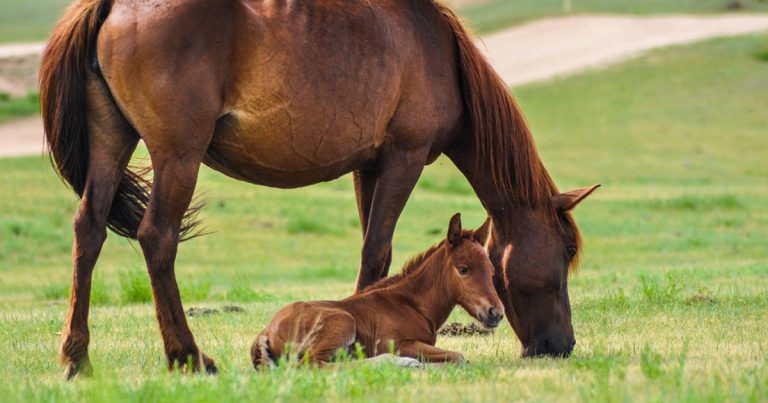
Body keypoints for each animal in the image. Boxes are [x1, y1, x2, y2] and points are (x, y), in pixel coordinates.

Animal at [251, 213, 503, 368]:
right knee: (314, 365)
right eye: (463, 269)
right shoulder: (397, 343)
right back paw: (399, 363)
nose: (496, 313)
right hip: (343, 322)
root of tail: (266, 331)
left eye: (492, 270)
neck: (411, 305)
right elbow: (458, 356)